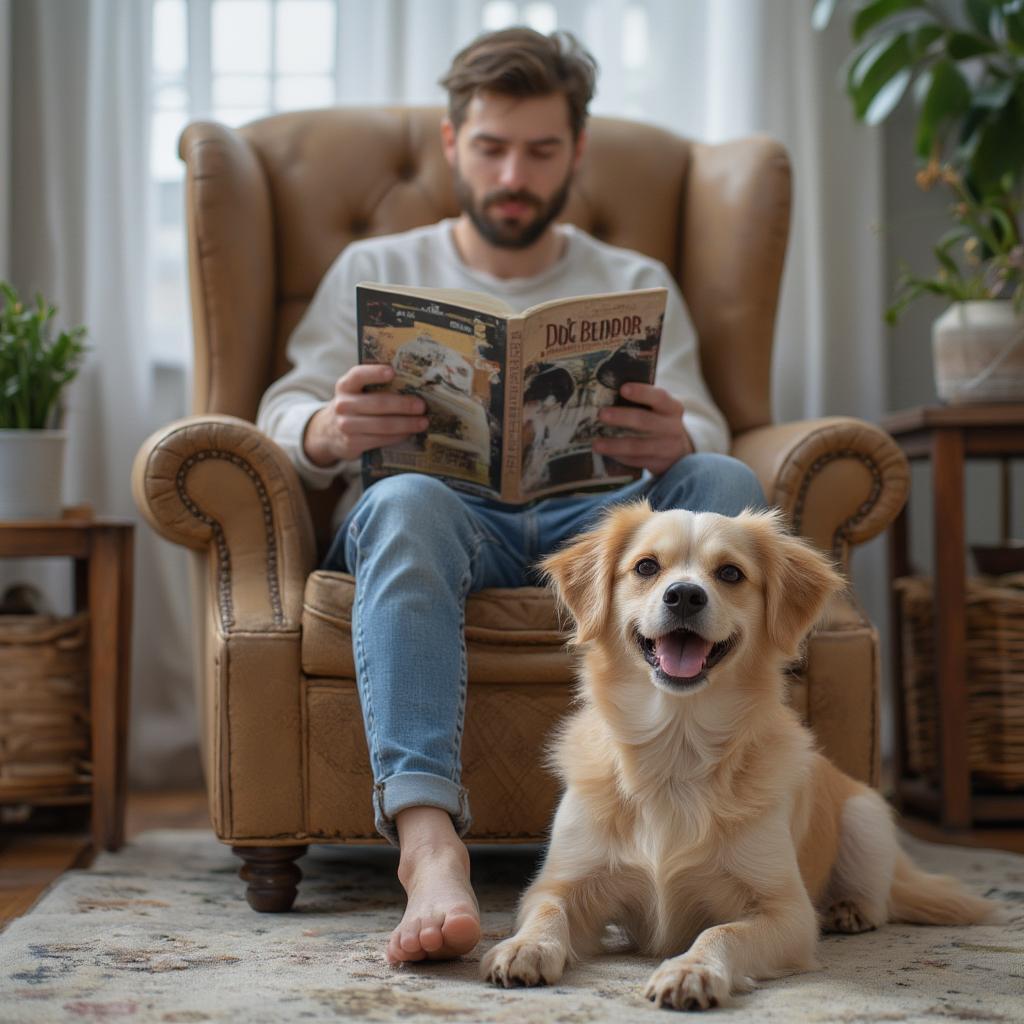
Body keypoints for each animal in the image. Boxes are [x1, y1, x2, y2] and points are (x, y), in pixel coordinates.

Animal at [479, 501, 999, 1007]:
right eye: (646, 566)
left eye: (730, 573)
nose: (684, 595)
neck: (678, 748)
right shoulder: (561, 881)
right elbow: (547, 910)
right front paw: (526, 946)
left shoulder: (787, 912)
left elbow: (722, 932)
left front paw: (691, 969)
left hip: (865, 815)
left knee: (879, 896)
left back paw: (849, 910)